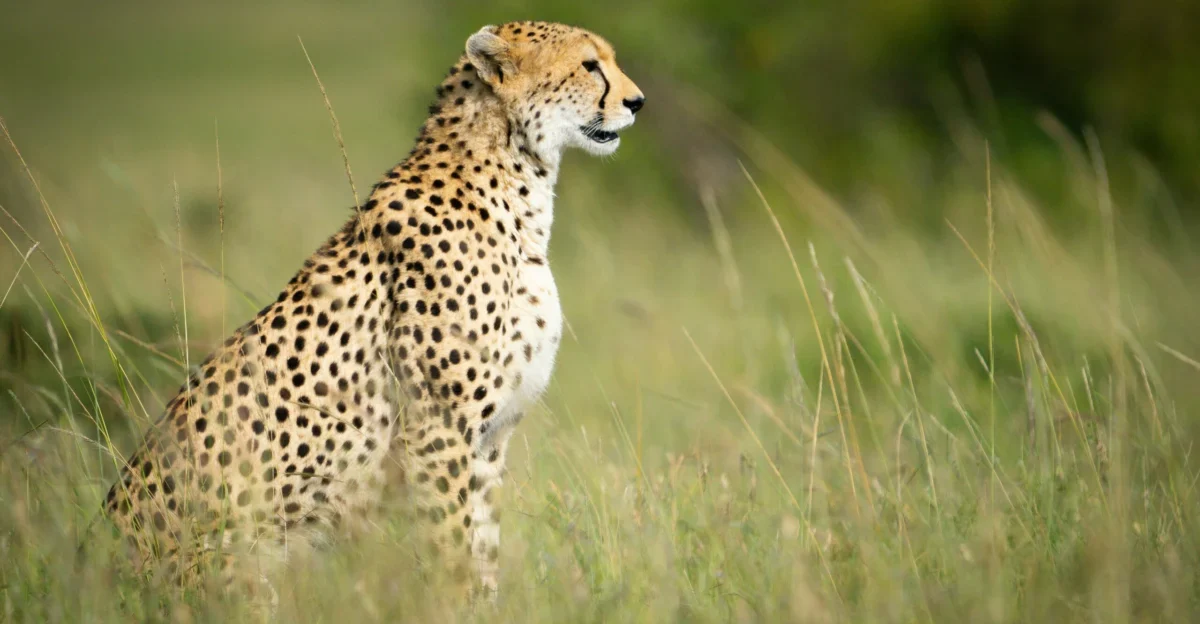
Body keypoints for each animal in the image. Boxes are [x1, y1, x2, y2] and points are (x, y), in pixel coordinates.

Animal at [100, 20, 644, 598]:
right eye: (589, 65)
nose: (637, 102)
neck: (516, 181)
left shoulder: (489, 440)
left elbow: (484, 551)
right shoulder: (436, 430)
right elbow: (453, 548)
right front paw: (454, 603)